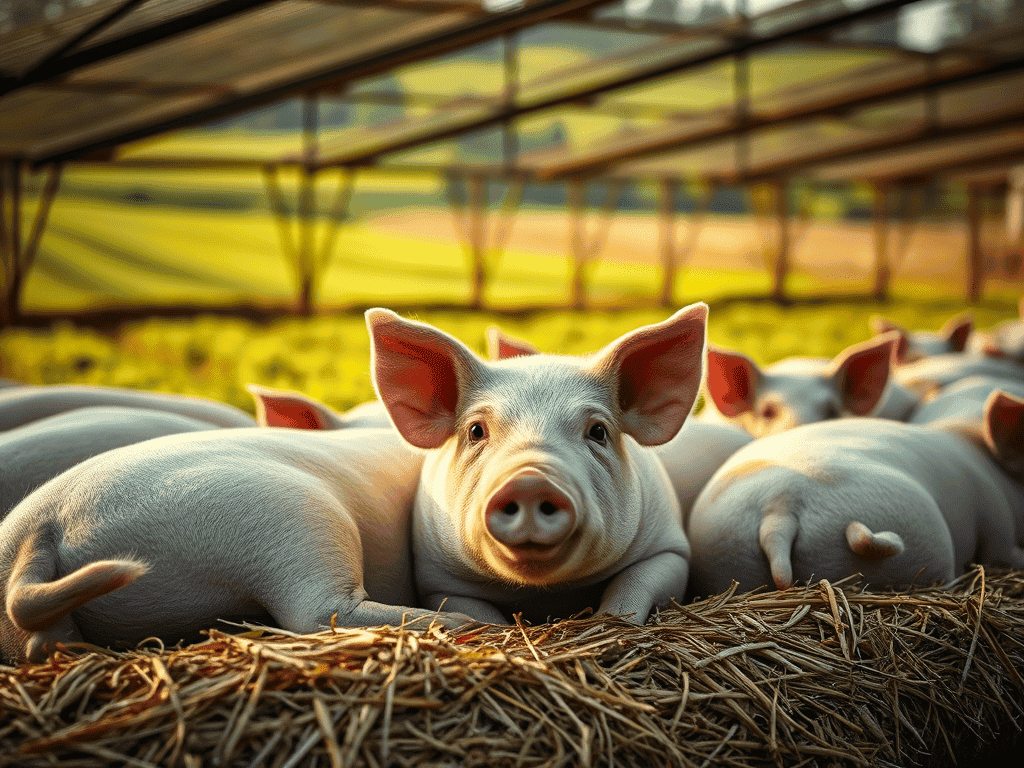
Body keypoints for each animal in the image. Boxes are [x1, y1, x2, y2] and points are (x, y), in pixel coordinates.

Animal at [368, 306, 707, 626]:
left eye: (598, 431)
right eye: (476, 430)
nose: (529, 481)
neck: (543, 593)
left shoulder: (670, 548)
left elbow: (632, 588)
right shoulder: (438, 578)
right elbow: (477, 613)